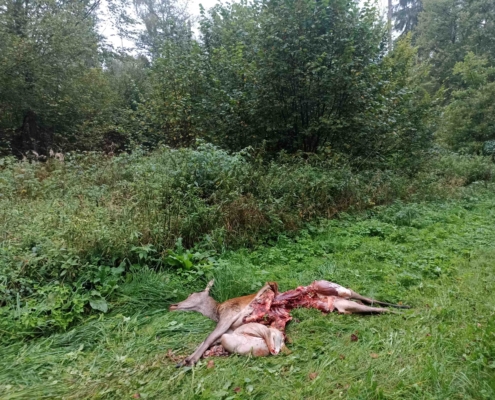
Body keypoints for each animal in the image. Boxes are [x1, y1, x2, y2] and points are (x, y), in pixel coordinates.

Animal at [169, 279, 409, 366]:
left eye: (192, 293)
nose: (173, 305)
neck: (216, 311)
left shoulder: (228, 316)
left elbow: (208, 338)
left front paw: (187, 361)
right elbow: (214, 340)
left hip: (334, 286)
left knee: (365, 297)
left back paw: (406, 309)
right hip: (345, 304)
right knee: (371, 305)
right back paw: (402, 308)